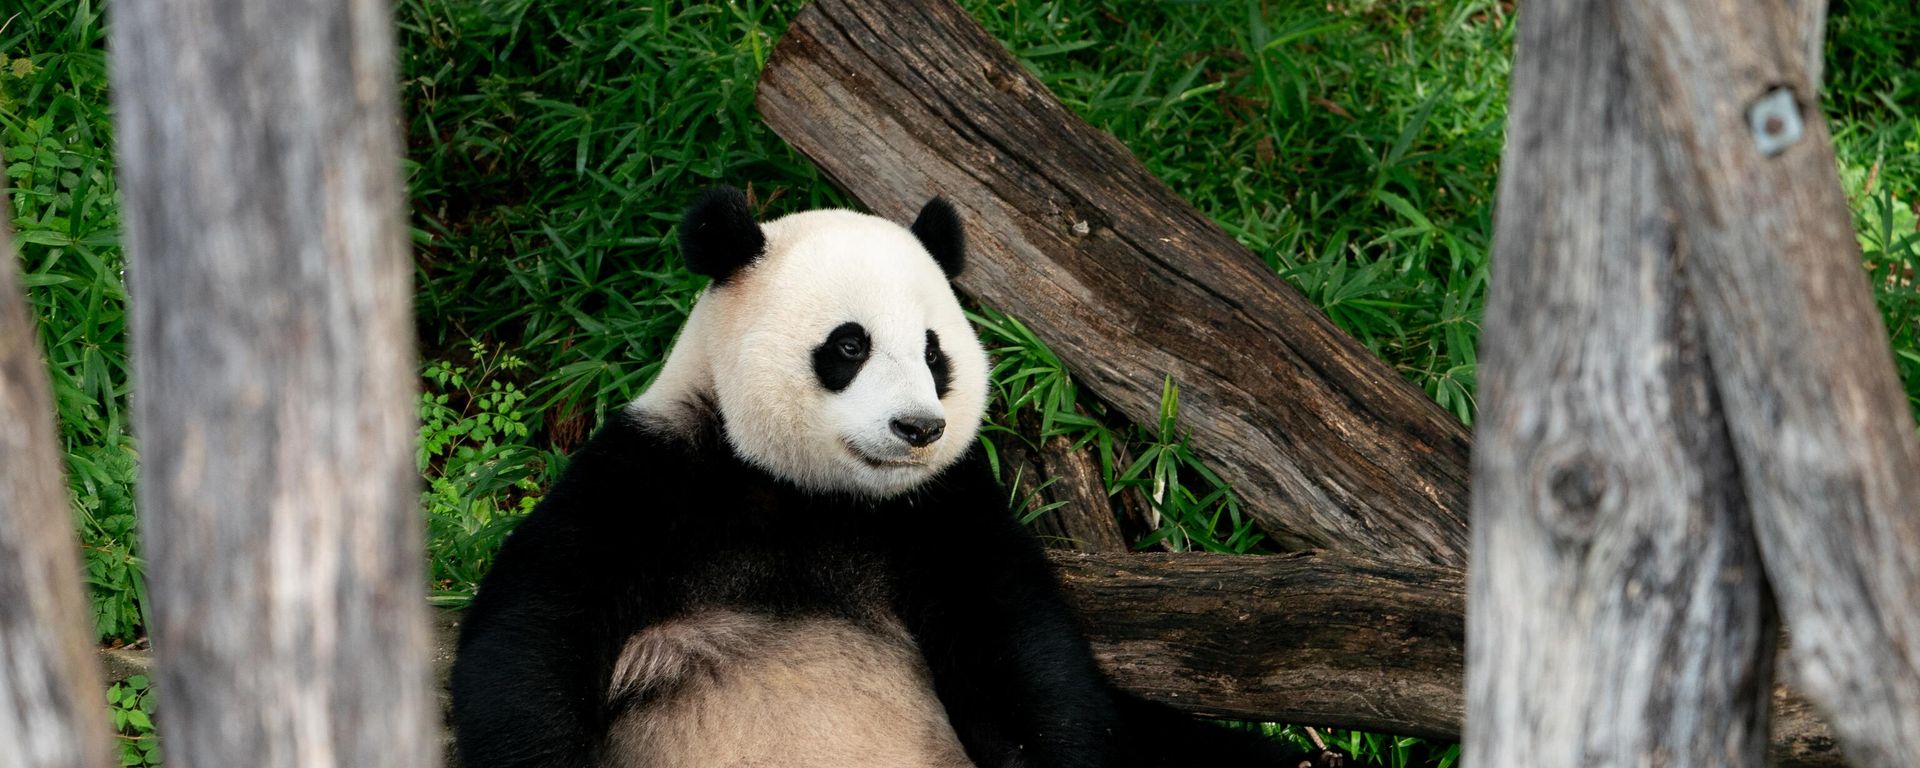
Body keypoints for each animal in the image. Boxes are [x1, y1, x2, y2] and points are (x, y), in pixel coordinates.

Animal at [449, 187, 1348, 768]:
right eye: (849, 345)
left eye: (932, 351)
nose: (919, 429)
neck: (810, 495)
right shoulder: (652, 478)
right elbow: (528, 640)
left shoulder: (943, 512)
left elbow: (1032, 669)